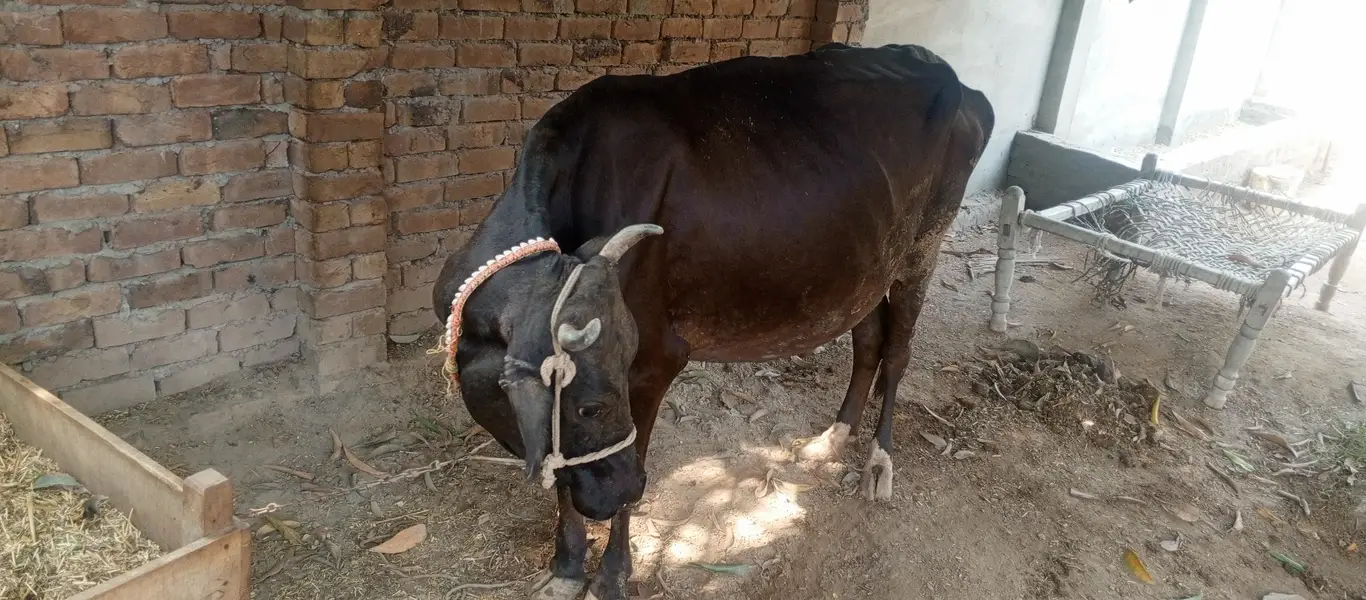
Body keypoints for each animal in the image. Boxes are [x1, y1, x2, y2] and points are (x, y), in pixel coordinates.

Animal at [432, 42, 995, 600]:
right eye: (590, 408)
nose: (629, 488)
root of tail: (958, 82)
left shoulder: (656, 358)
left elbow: (624, 459)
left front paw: (611, 574)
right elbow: (564, 480)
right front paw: (567, 566)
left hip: (922, 250)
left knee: (898, 352)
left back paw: (879, 460)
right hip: (869, 267)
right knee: (869, 341)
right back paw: (832, 438)